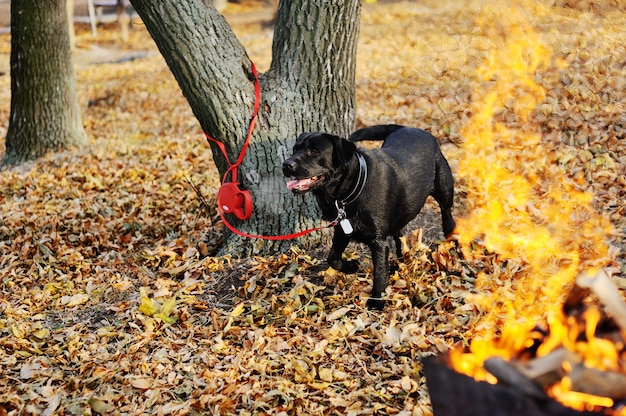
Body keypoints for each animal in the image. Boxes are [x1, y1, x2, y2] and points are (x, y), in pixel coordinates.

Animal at [282, 124, 454, 308]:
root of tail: (411, 128)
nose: (286, 164)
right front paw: (351, 266)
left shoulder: (378, 242)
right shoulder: (343, 231)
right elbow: (332, 258)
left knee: (447, 216)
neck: (352, 188)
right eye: (295, 149)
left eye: (314, 151)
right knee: (399, 236)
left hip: (444, 194)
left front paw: (376, 301)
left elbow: (378, 272)